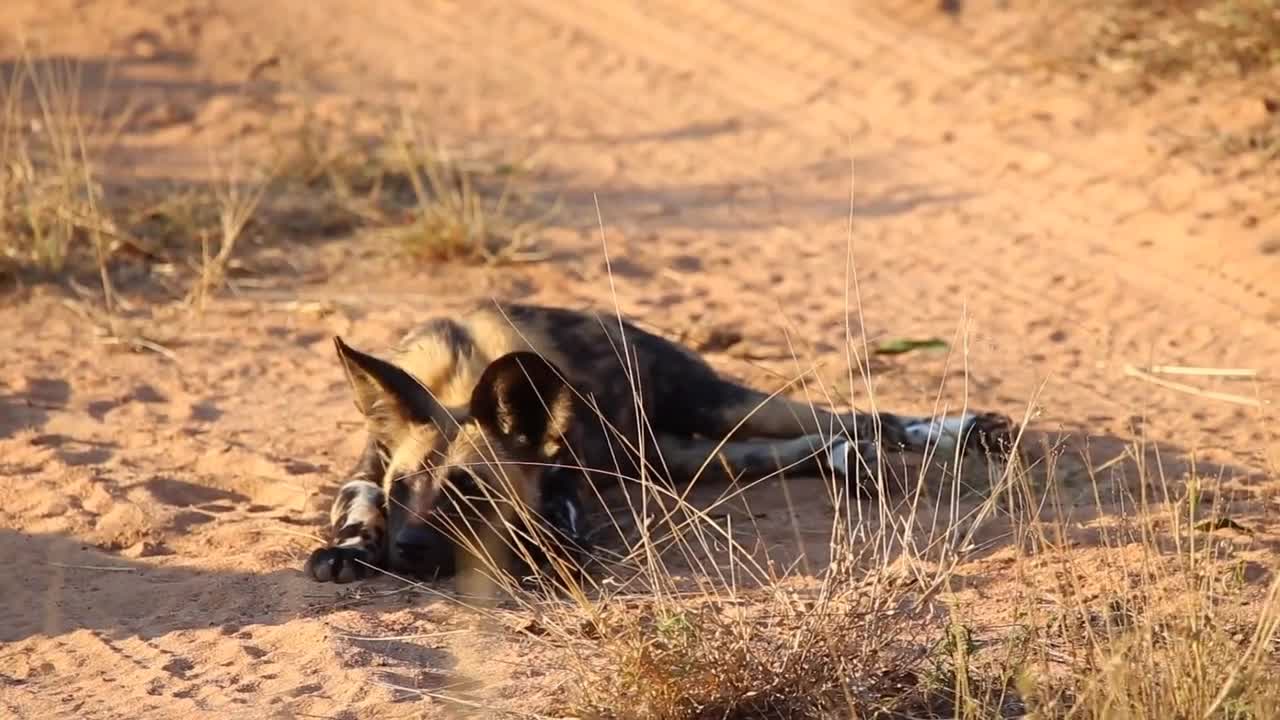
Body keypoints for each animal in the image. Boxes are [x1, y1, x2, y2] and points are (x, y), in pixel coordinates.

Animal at [302, 298, 1008, 584]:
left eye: (469, 495)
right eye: (404, 488)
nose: (410, 550)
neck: (458, 375)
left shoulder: (564, 495)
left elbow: (556, 527)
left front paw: (546, 556)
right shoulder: (369, 466)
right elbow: (359, 500)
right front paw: (350, 547)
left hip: (714, 405)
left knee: (858, 417)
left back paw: (949, 430)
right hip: (680, 455)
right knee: (802, 443)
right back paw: (849, 463)